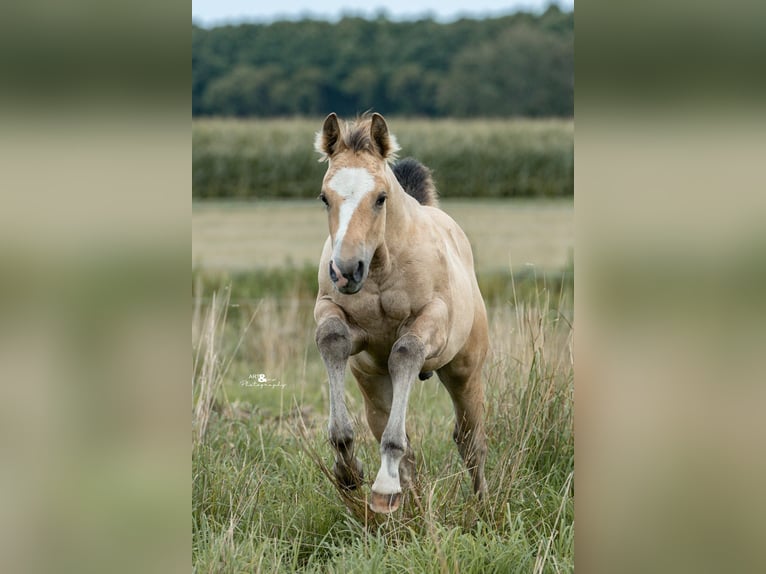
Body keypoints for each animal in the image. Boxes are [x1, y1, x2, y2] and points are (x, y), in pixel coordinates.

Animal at [313, 112, 489, 513]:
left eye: (380, 198)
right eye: (324, 197)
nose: (346, 270)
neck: (382, 268)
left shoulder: (431, 321)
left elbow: (406, 351)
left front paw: (382, 482)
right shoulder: (333, 312)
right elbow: (332, 338)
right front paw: (349, 471)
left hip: (464, 371)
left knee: (470, 440)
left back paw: (486, 505)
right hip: (373, 382)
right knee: (397, 437)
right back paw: (404, 506)